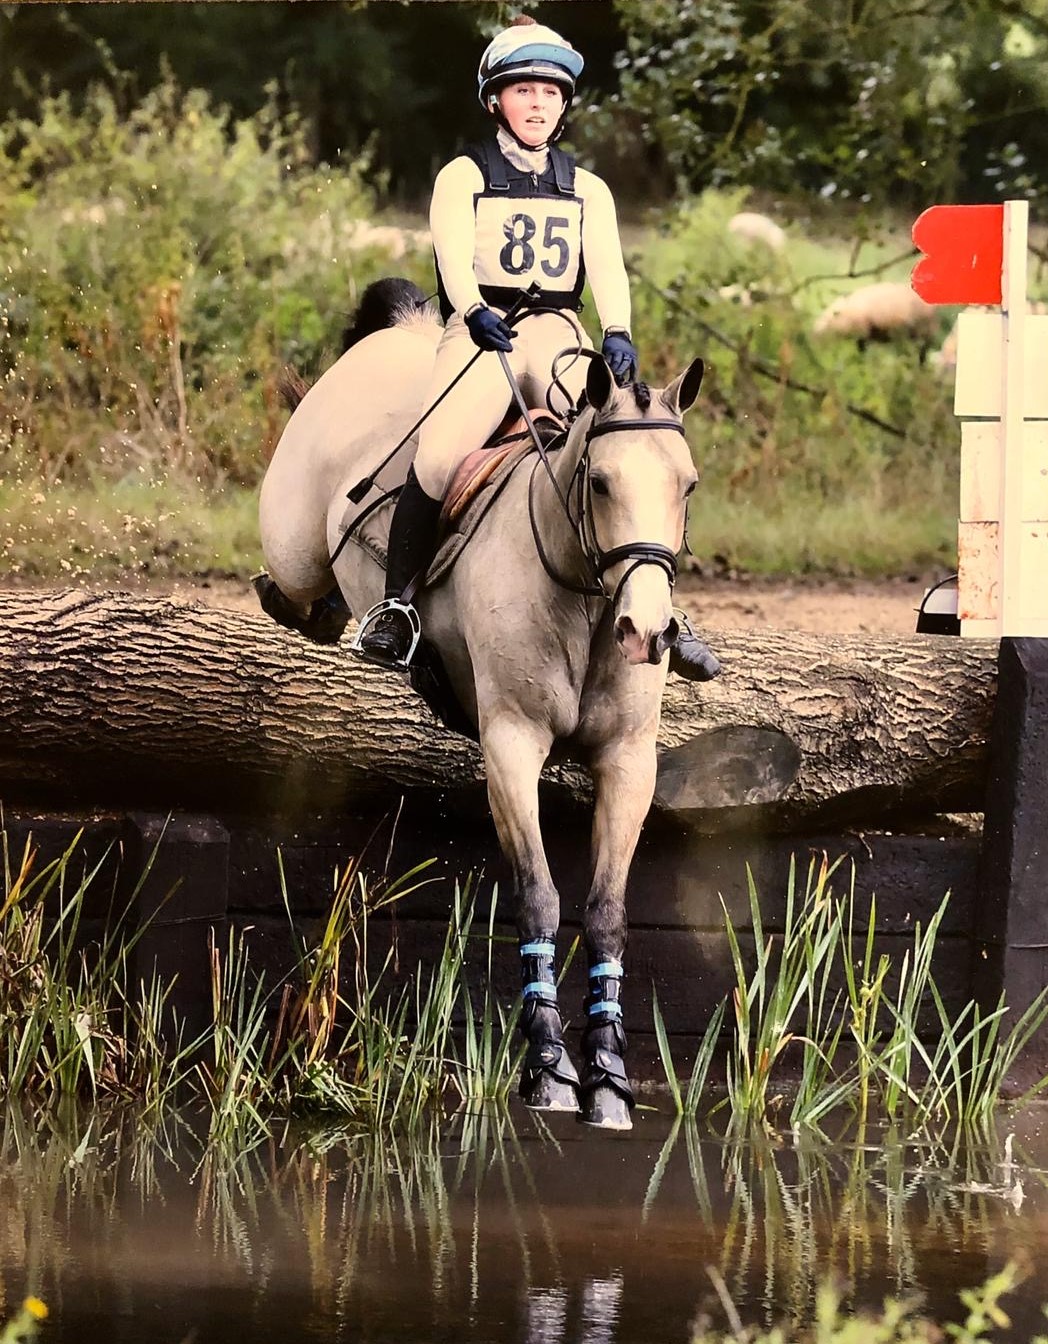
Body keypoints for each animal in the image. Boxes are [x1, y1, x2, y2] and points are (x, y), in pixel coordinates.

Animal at [258, 287, 705, 1130]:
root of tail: (402, 334)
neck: (583, 600)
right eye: (601, 483)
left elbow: (606, 909)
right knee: (287, 584)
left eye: (687, 486)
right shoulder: (511, 744)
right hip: (294, 540)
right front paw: (550, 1071)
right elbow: (537, 896)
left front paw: (609, 1078)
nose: (648, 631)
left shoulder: (629, 760)